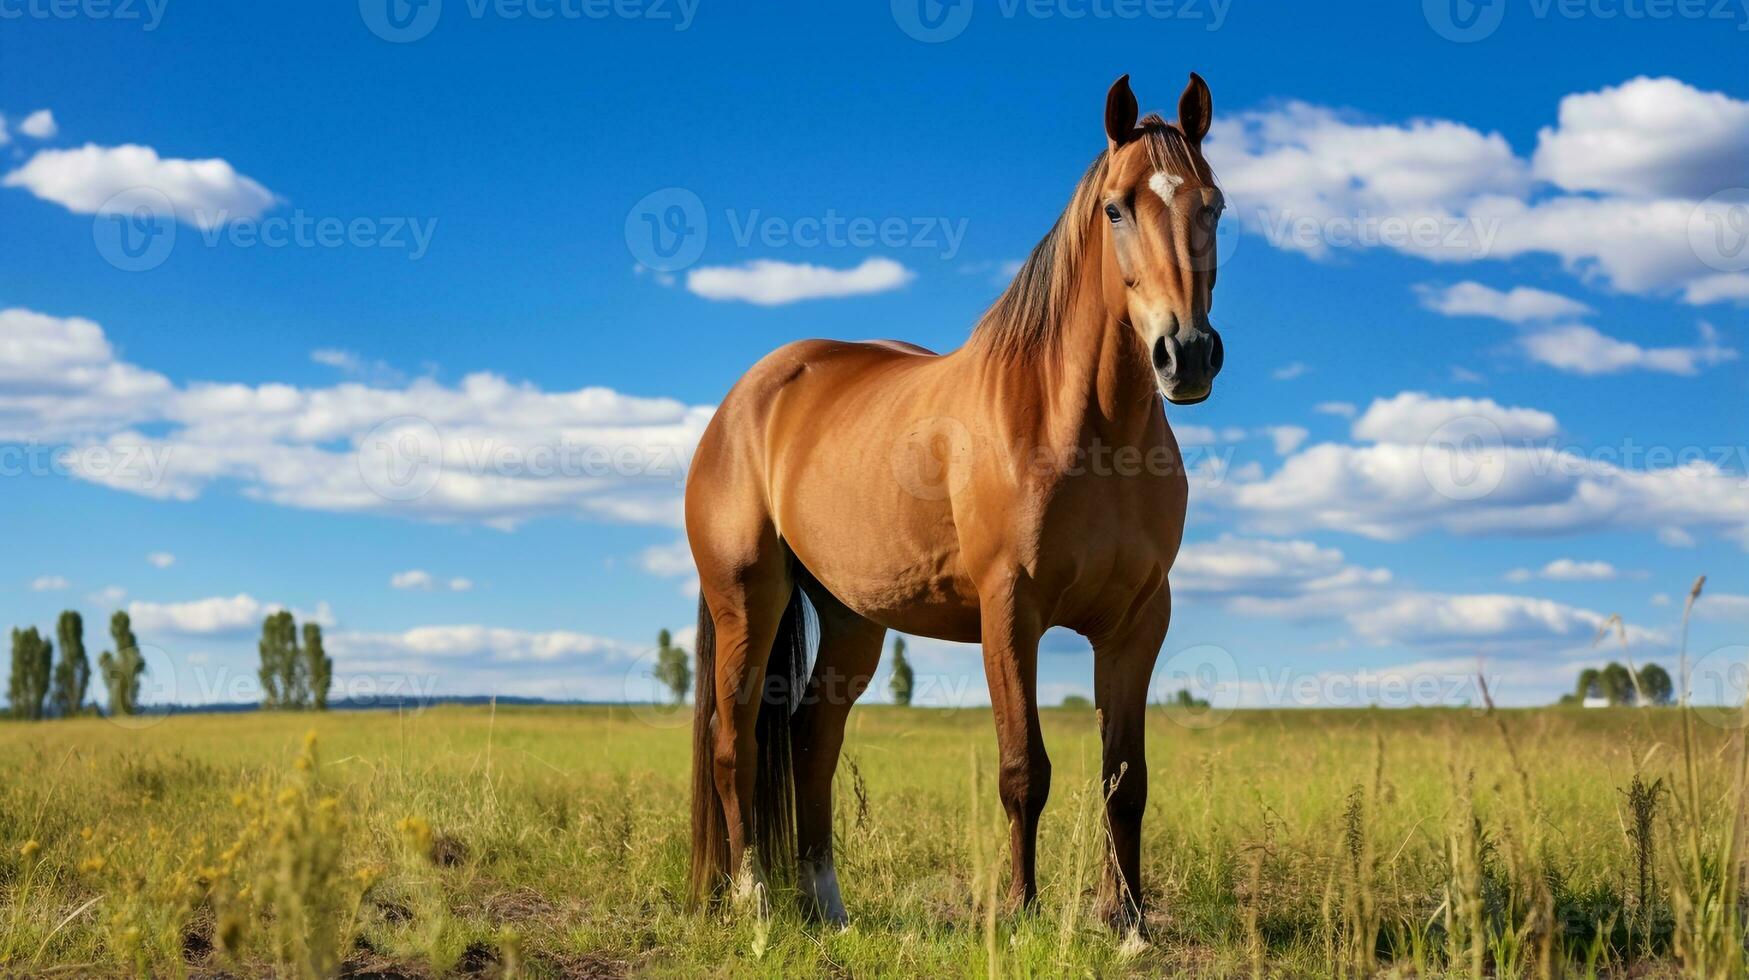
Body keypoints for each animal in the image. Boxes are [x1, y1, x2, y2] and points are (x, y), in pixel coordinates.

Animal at [689, 74, 1224, 924]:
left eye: (1213, 205)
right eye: (1116, 208)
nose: (1187, 354)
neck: (1087, 426)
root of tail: (749, 396)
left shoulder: (1138, 622)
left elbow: (1125, 780)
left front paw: (1128, 923)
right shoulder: (1009, 611)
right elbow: (1023, 769)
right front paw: (1023, 913)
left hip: (851, 620)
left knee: (810, 740)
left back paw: (827, 906)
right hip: (748, 596)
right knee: (733, 740)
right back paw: (755, 901)